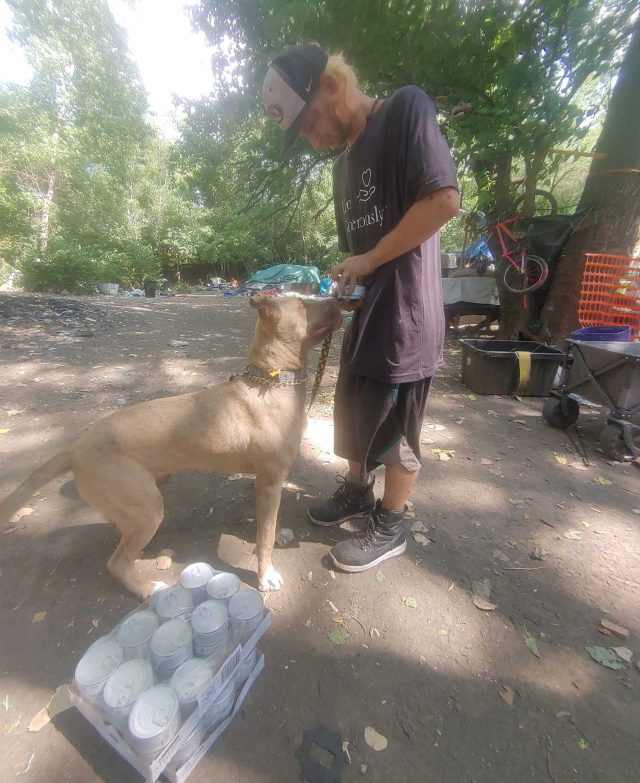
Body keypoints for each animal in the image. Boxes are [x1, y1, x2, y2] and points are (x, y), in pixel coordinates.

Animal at [0, 298, 342, 596]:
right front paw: (265, 576)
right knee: (116, 563)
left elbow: (271, 525)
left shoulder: (272, 482)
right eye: (303, 303)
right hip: (149, 508)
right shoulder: (268, 482)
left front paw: (280, 533)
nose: (340, 297)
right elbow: (264, 538)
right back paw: (148, 589)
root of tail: (75, 448)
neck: (271, 382)